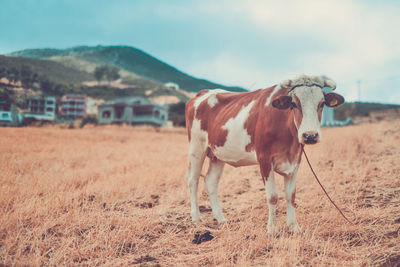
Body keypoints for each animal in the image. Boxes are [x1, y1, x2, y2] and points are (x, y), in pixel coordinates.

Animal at [184, 75, 344, 234]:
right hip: (196, 148)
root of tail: (202, 94)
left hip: (217, 154)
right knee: (193, 180)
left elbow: (291, 195)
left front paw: (293, 227)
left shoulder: (295, 160)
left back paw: (220, 218)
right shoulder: (264, 159)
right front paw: (272, 229)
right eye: (294, 104)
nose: (310, 136)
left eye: (322, 103)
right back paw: (196, 216)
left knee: (211, 181)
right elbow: (272, 196)